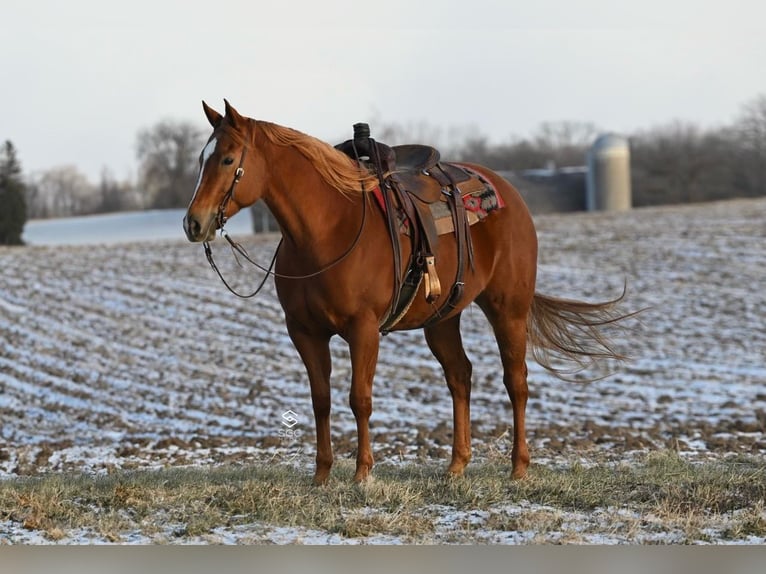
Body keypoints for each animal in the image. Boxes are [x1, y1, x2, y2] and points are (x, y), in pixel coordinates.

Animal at [184, 100, 632, 486]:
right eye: (201, 159)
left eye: (227, 160)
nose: (193, 223)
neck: (325, 231)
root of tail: (508, 192)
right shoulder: (304, 332)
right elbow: (321, 400)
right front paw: (322, 476)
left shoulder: (363, 329)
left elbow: (359, 398)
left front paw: (362, 474)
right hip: (443, 318)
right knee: (460, 376)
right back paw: (456, 465)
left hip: (508, 308)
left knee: (515, 381)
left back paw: (519, 467)